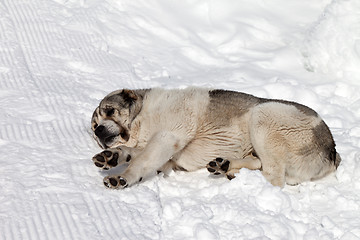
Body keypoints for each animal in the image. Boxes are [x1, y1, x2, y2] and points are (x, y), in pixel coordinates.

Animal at [90, 87, 340, 188]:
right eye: (93, 126)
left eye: (110, 111)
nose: (99, 130)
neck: (142, 119)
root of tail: (333, 153)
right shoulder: (167, 157)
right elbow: (135, 154)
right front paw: (113, 156)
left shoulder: (167, 137)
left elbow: (141, 160)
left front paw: (122, 177)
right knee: (258, 163)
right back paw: (225, 166)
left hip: (264, 115)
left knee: (274, 177)